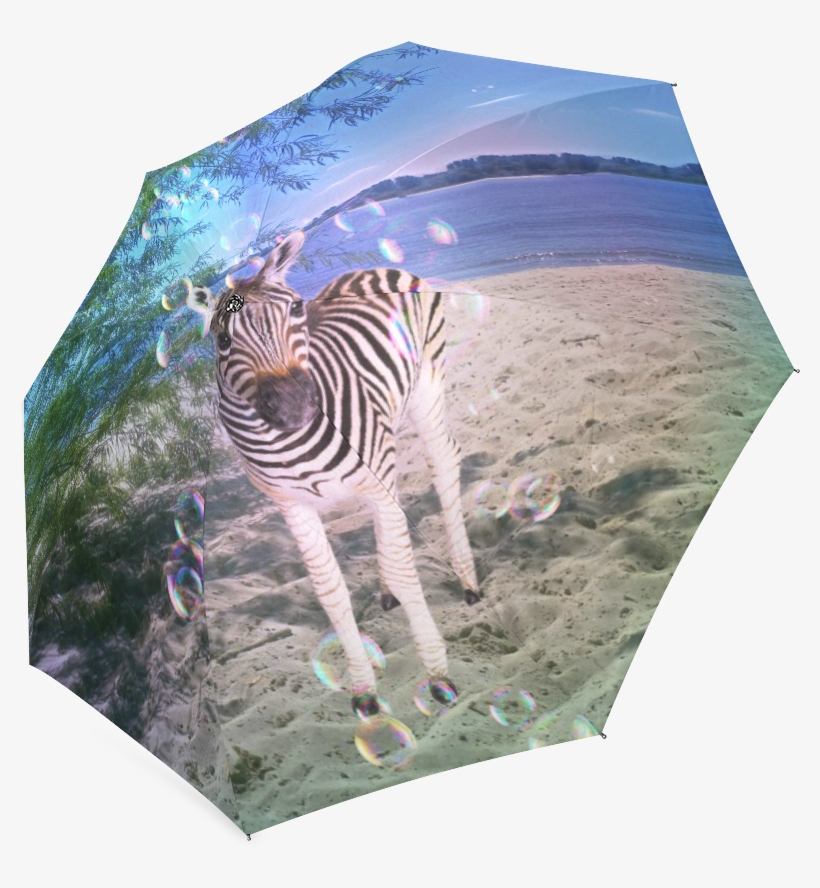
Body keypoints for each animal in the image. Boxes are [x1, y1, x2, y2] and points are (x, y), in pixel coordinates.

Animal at [188, 229, 479, 717]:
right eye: (223, 339)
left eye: (296, 309)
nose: (296, 407)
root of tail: (373, 268)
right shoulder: (293, 508)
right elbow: (330, 593)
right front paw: (364, 688)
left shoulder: (376, 474)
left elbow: (407, 571)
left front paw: (437, 674)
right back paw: (386, 589)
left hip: (427, 384)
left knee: (443, 464)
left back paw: (467, 579)